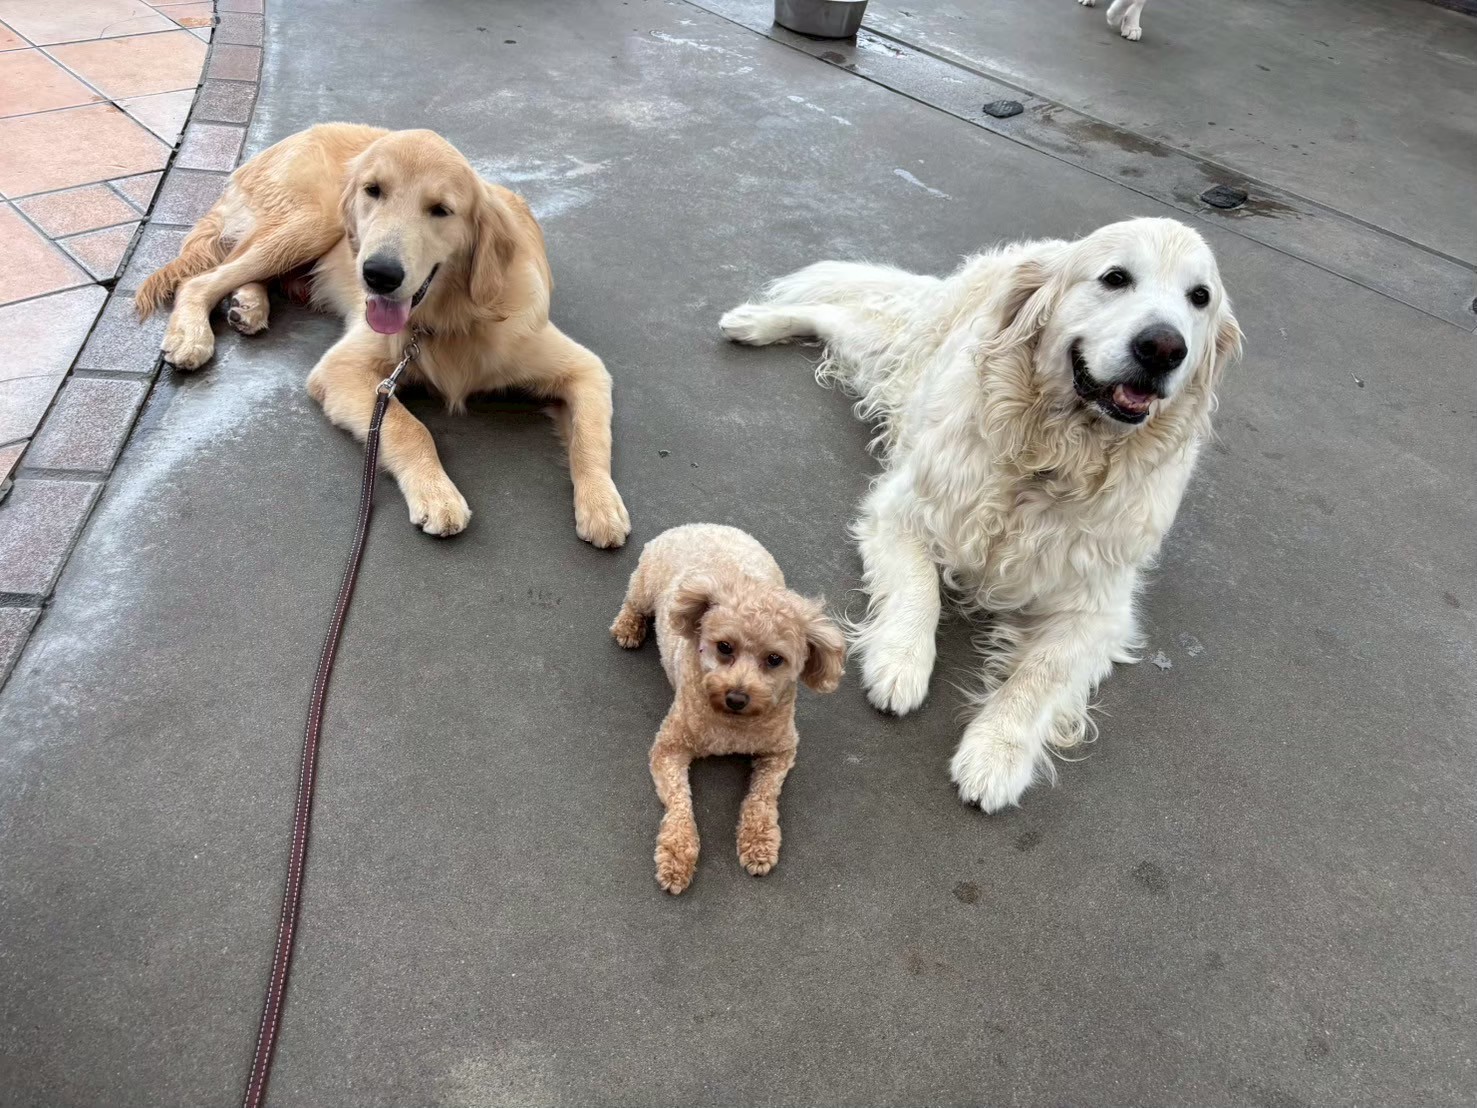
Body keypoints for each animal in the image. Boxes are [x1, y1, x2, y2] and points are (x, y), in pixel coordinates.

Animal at [135, 123, 630, 547]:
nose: (378, 275)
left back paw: (249, 305)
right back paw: (194, 334)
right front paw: (437, 492)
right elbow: (409, 427)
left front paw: (601, 503)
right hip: (313, 224)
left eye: (441, 210)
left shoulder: (585, 368)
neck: (451, 318)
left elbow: (591, 437)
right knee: (203, 279)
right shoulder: (342, 369)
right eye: (374, 191)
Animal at [611, 524, 846, 894]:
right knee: (633, 601)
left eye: (774, 659)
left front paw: (759, 841)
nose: (737, 697)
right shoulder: (668, 748)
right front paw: (677, 855)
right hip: (645, 584)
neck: (733, 726)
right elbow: (680, 803)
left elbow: (762, 797)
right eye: (724, 647)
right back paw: (628, 626)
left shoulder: (781, 751)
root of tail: (705, 525)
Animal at [720, 217, 1242, 811]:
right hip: (895, 357)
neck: (1056, 457)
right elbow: (920, 588)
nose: (1164, 347)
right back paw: (753, 322)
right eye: (1115, 277)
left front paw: (996, 754)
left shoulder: (1100, 608)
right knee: (836, 314)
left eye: (1199, 297)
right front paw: (899, 662)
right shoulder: (902, 510)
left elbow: (1041, 673)